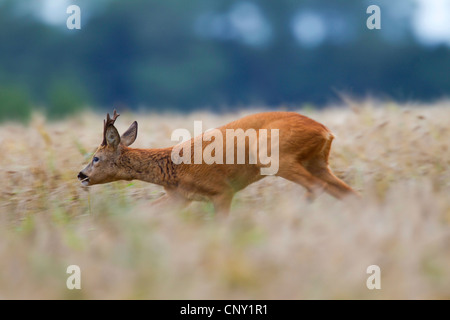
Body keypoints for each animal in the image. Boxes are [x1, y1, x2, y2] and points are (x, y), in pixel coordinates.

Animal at [78, 109, 358, 215]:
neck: (172, 168)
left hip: (277, 157)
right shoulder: (180, 197)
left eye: (96, 157)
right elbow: (145, 212)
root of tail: (325, 131)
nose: (81, 175)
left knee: (317, 187)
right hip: (317, 161)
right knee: (349, 194)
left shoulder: (222, 190)